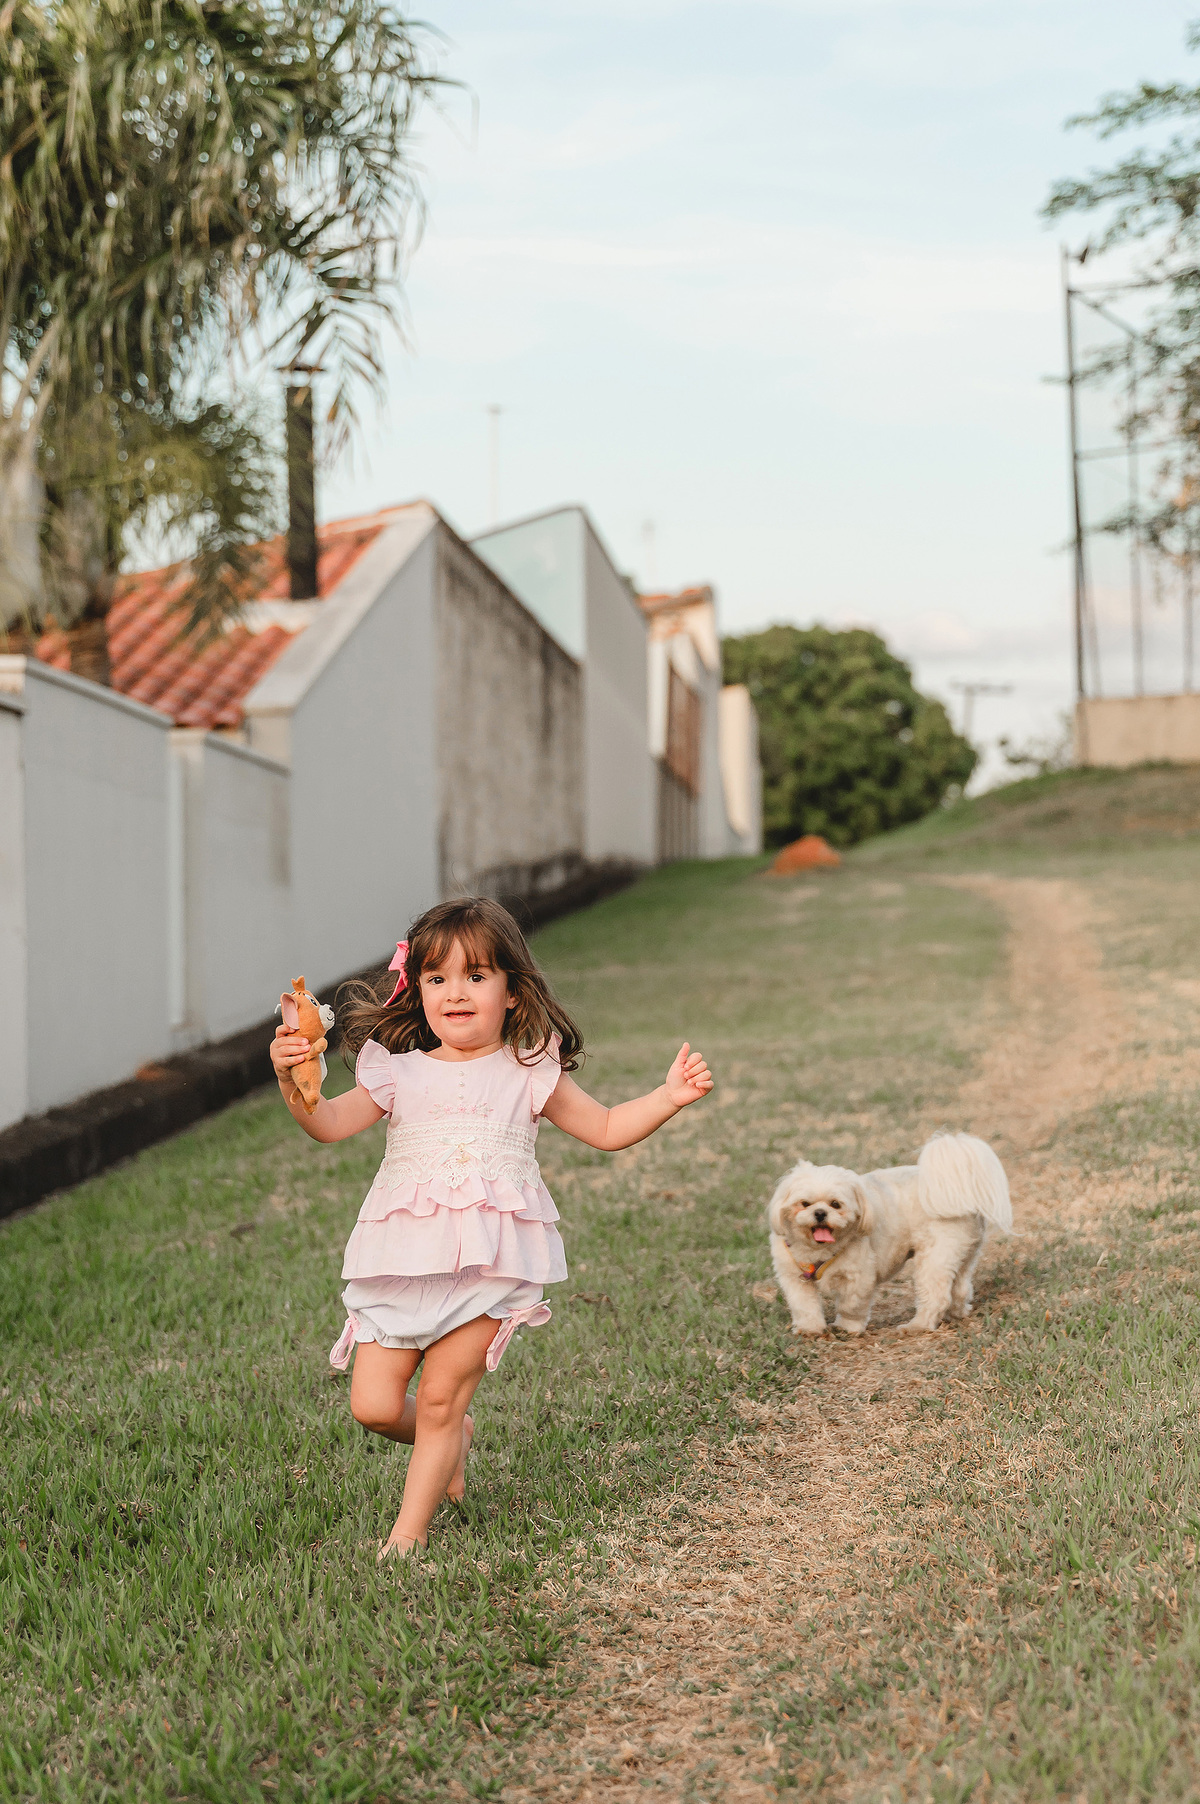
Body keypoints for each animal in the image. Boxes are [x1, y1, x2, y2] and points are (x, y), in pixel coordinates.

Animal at [768, 1133, 1012, 1336]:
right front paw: (810, 1329)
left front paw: (847, 1327)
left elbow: (850, 1304)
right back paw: (955, 1313)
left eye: (835, 1204)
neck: (819, 1250)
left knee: (936, 1295)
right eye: (804, 1204)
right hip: (962, 1254)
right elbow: (804, 1306)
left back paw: (918, 1325)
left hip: (935, 1256)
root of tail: (955, 1187)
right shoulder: (795, 1278)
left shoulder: (860, 1276)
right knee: (959, 1287)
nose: (820, 1213)